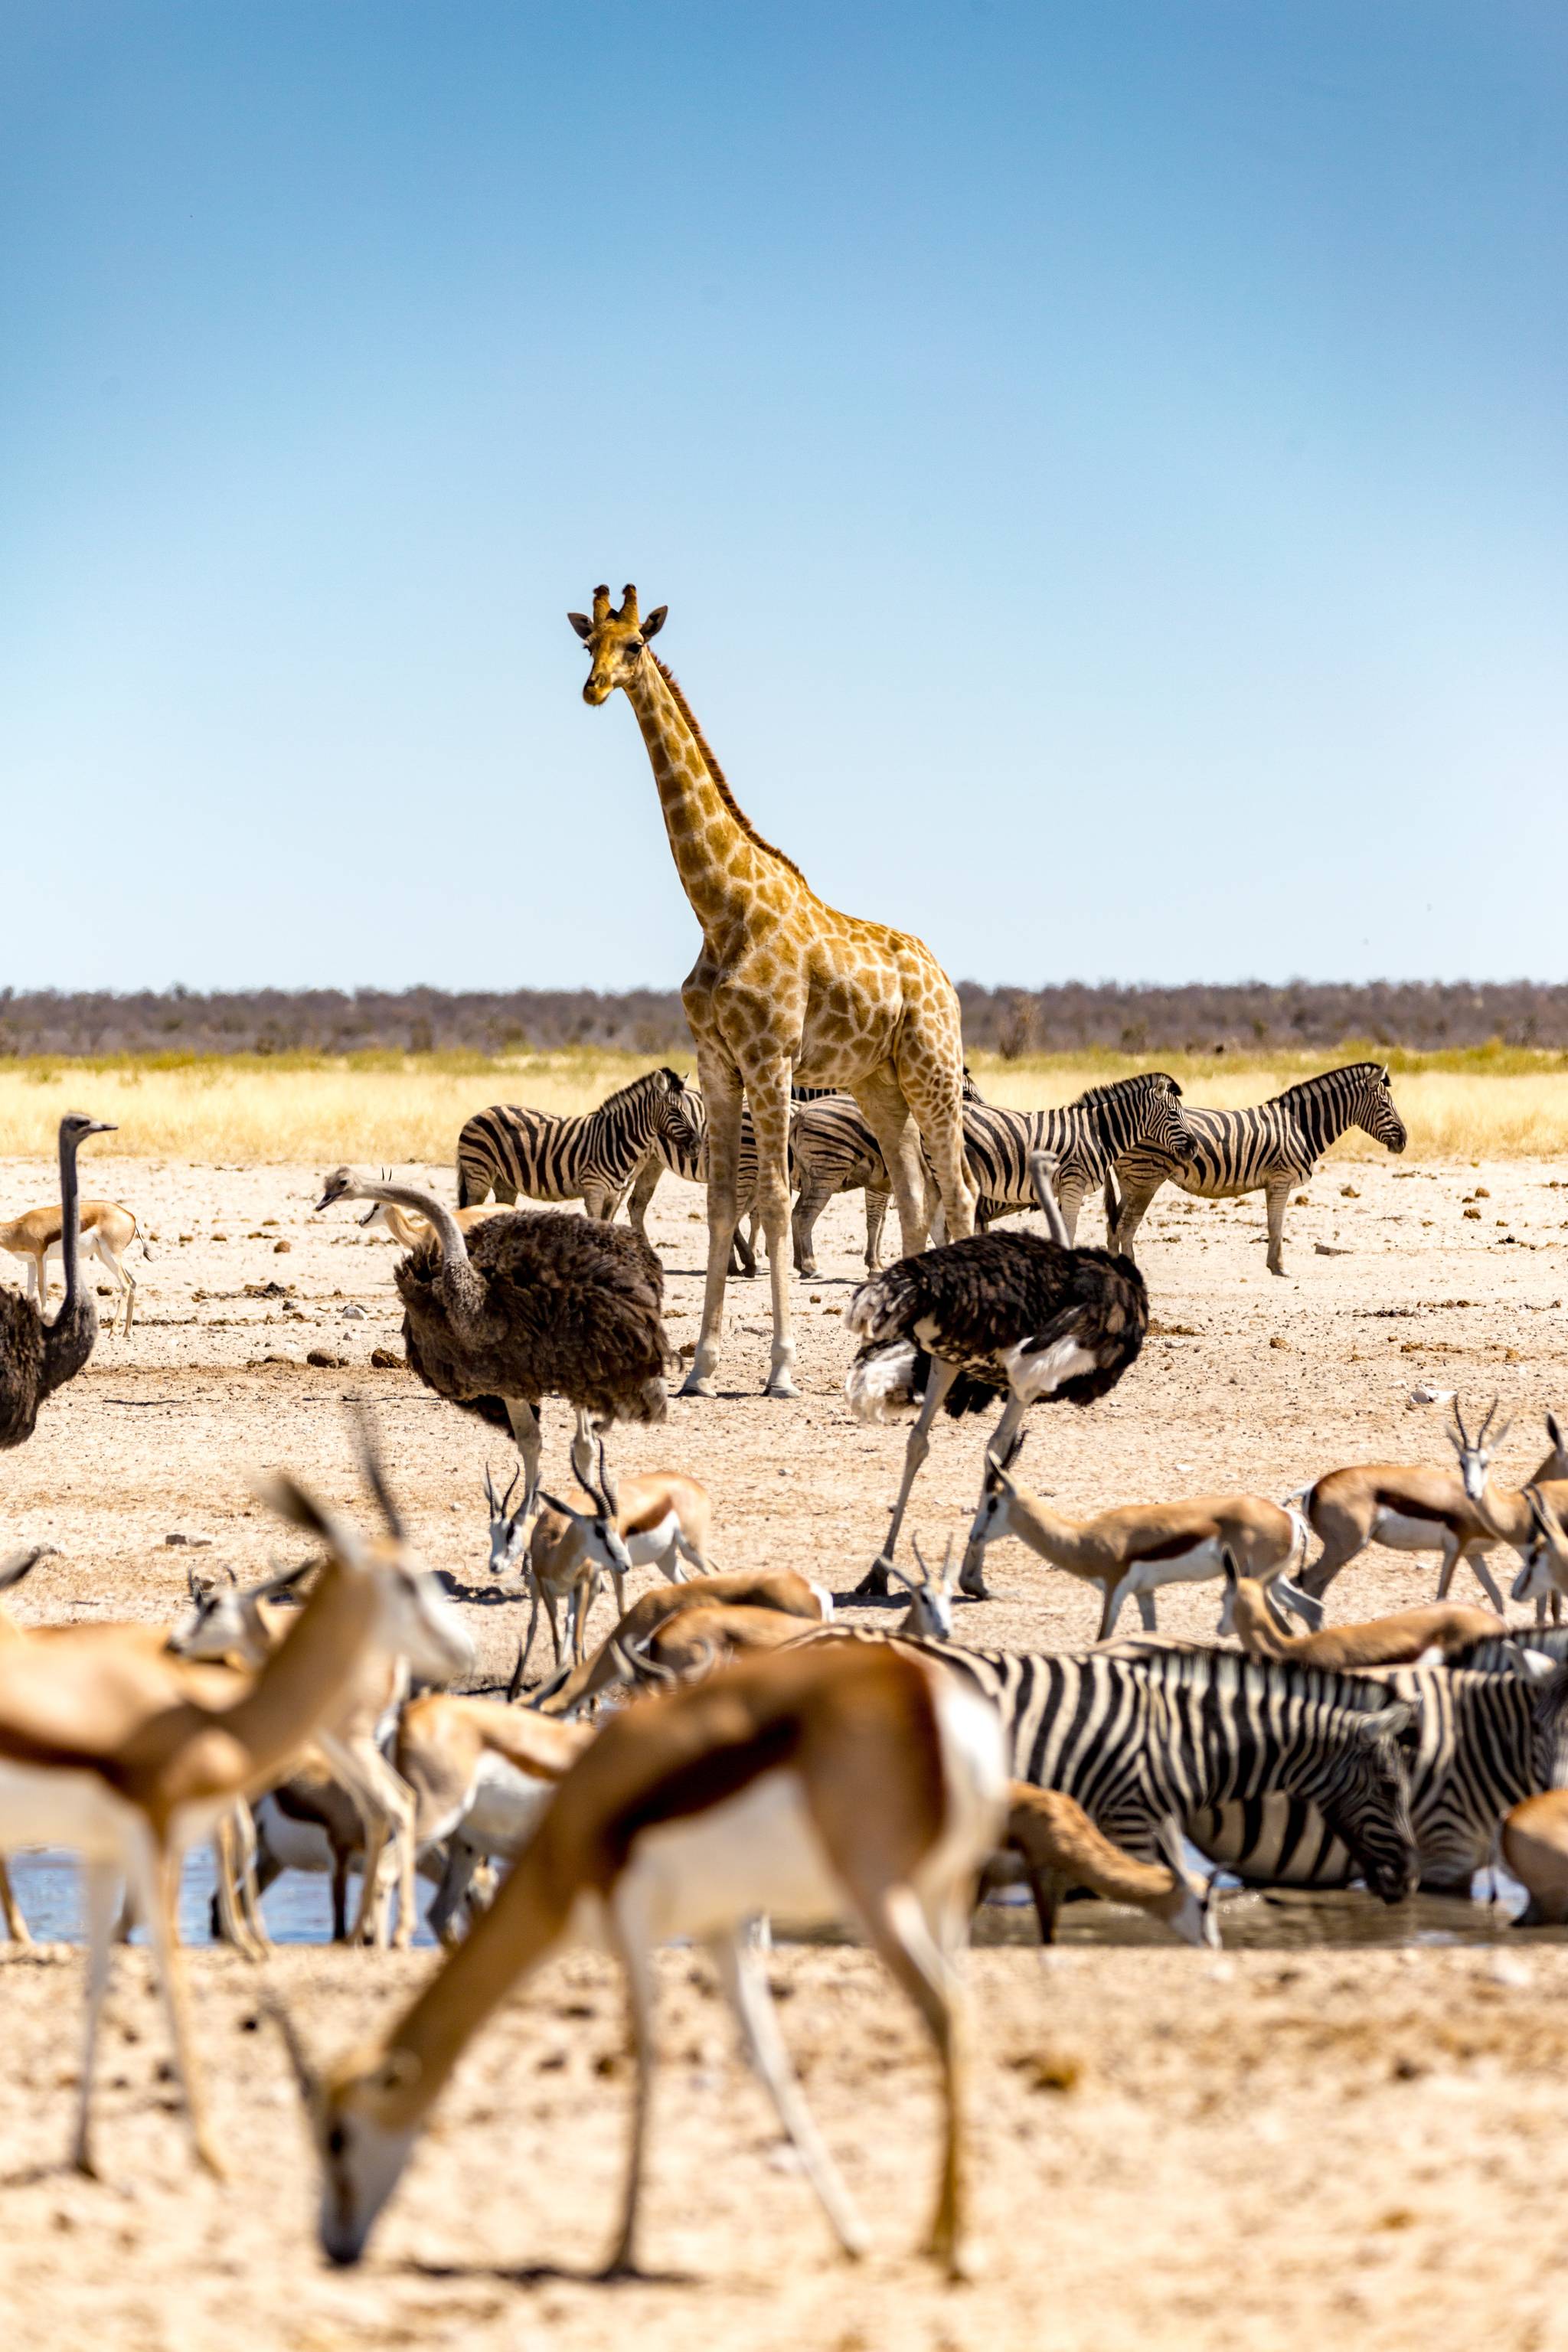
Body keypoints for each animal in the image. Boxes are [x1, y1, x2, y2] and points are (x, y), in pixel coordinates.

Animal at [451, 1063, 700, 1214]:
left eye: (689, 1110)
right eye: (675, 1111)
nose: (698, 1145)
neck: (617, 1138)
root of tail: (477, 1114)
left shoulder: (612, 1195)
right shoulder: (594, 1190)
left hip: (504, 1182)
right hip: (479, 1174)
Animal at [571, 583, 973, 1392]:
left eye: (635, 644)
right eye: (585, 642)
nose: (593, 689)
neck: (721, 908)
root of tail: (942, 977)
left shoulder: (772, 1058)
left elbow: (776, 1201)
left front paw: (780, 1368)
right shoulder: (717, 1062)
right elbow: (724, 1203)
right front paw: (701, 1368)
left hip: (934, 1068)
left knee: (960, 1188)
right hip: (881, 1082)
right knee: (917, 1197)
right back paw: (904, 1352)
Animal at [1105, 1063, 1410, 1279]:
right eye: (1385, 1105)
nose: (1404, 1141)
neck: (1301, 1126)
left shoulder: (1273, 1182)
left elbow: (1274, 1224)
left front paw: (1274, 1265)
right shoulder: (1280, 1180)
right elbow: (1277, 1225)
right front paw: (1280, 1268)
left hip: (1130, 1180)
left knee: (1113, 1225)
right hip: (1147, 1177)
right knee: (1126, 1227)